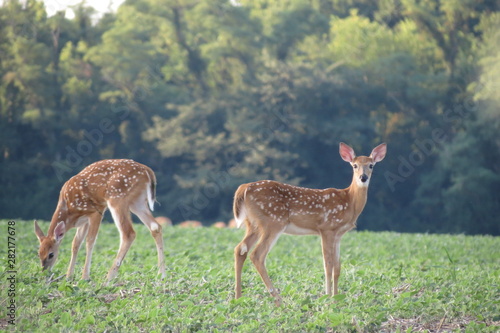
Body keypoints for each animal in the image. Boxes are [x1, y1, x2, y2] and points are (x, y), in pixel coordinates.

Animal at [34, 159, 166, 282]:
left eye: (51, 254)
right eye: (38, 253)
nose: (44, 271)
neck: (69, 212)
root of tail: (148, 171)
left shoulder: (96, 211)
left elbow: (90, 241)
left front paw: (85, 277)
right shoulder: (83, 221)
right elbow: (75, 243)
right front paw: (69, 276)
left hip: (117, 198)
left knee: (128, 233)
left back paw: (109, 278)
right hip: (137, 202)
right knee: (155, 226)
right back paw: (161, 274)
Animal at [233, 142, 386, 304]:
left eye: (371, 165)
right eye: (355, 165)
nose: (363, 177)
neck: (350, 201)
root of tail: (244, 188)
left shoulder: (338, 234)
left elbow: (337, 267)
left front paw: (337, 299)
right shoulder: (327, 228)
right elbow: (328, 265)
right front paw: (327, 298)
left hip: (254, 224)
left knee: (240, 249)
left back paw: (238, 298)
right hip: (273, 222)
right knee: (257, 255)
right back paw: (278, 300)